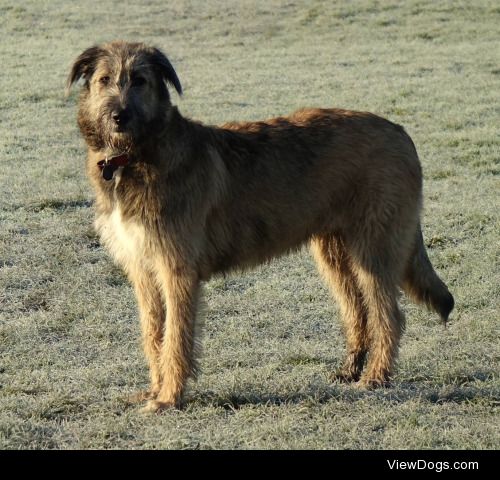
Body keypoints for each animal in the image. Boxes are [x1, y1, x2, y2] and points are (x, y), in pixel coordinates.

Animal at [66, 41, 454, 412]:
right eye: (104, 80)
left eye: (140, 80)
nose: (119, 116)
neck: (136, 156)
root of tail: (399, 132)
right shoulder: (144, 270)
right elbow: (153, 335)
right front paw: (155, 389)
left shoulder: (177, 270)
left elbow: (175, 338)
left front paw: (169, 398)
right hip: (335, 252)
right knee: (357, 310)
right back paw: (350, 369)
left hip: (374, 247)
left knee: (389, 316)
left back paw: (375, 377)